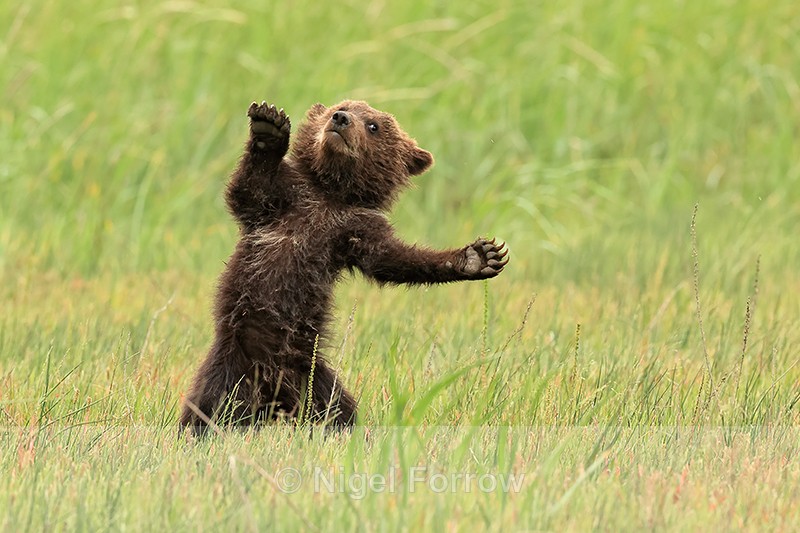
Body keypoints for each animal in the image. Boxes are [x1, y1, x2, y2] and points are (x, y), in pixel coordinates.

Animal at [179, 100, 508, 434]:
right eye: (341, 106)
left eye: (373, 125)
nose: (341, 119)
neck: (331, 193)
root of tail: (273, 399)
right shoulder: (286, 198)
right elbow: (248, 189)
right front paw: (269, 127)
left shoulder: (354, 227)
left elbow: (390, 259)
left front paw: (477, 257)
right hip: (233, 368)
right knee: (211, 408)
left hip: (313, 379)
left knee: (338, 411)